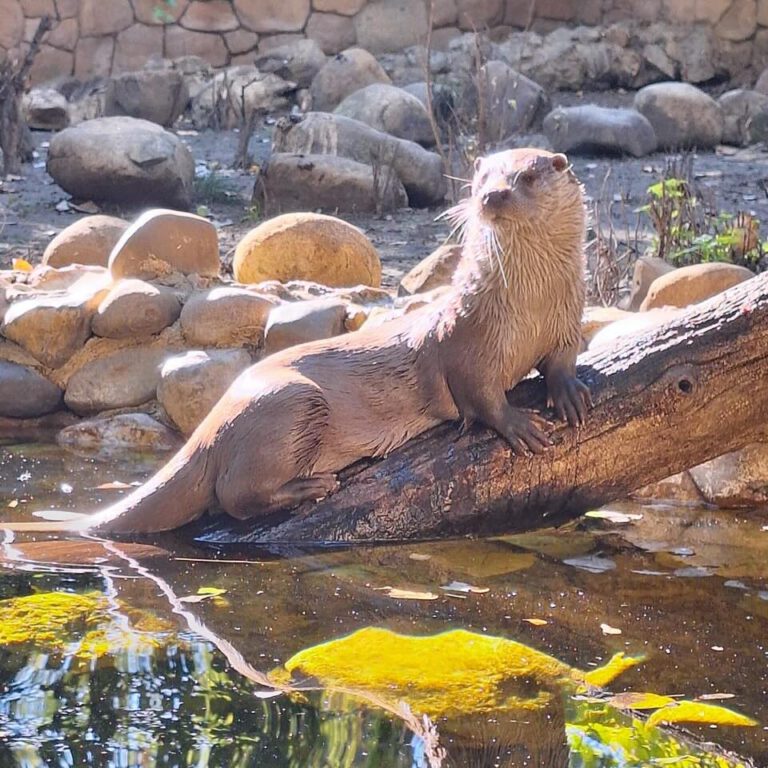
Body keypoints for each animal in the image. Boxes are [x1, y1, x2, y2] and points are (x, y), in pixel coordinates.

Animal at [9, 148, 592, 536]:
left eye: (527, 176)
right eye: (480, 180)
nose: (493, 195)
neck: (528, 309)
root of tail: (210, 426)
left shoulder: (568, 317)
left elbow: (564, 357)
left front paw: (568, 392)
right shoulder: (465, 339)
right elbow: (480, 393)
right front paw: (517, 424)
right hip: (290, 404)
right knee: (234, 496)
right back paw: (311, 486)